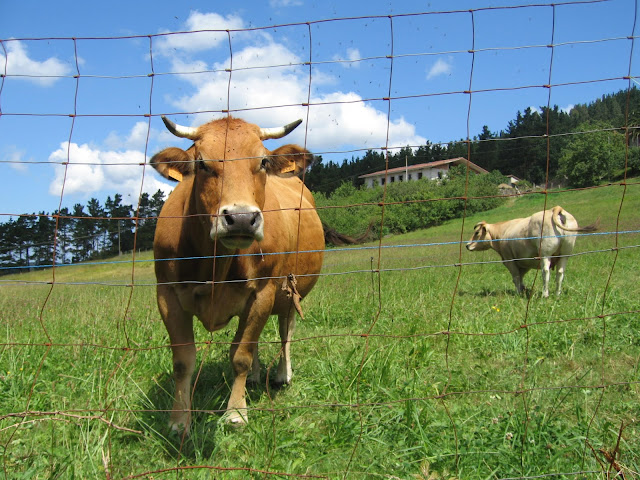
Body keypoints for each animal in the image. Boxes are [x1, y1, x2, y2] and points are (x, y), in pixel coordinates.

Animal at [150, 115, 325, 431]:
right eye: (202, 163)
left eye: (263, 162)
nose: (242, 218)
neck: (215, 263)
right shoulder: (166, 294)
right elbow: (183, 361)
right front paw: (179, 420)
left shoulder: (264, 292)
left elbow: (240, 354)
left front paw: (235, 412)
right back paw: (255, 377)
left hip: (289, 293)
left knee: (285, 331)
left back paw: (282, 374)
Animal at [466, 206, 597, 297]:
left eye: (477, 232)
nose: (467, 245)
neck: (502, 231)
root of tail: (554, 209)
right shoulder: (524, 263)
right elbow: (520, 277)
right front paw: (523, 290)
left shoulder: (510, 260)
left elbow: (516, 277)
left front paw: (519, 292)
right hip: (564, 255)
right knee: (560, 273)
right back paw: (557, 294)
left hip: (545, 254)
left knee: (545, 272)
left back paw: (545, 294)